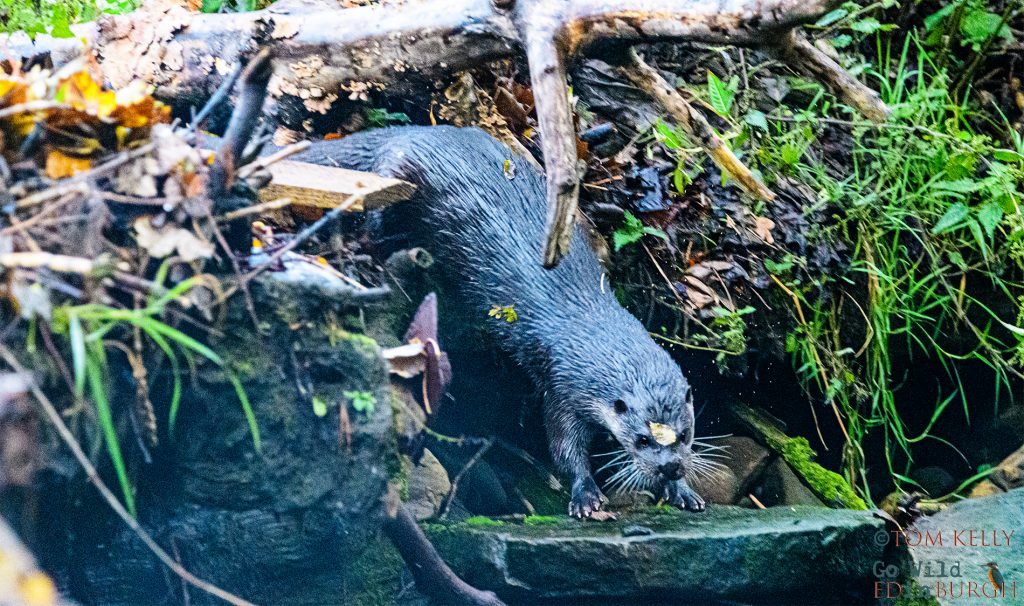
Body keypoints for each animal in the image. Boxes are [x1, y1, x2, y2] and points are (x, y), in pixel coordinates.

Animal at [295, 126, 705, 517]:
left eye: (684, 435)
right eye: (642, 439)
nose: (670, 467)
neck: (590, 324)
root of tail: (411, 131)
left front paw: (683, 491)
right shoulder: (561, 386)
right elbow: (563, 446)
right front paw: (586, 495)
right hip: (397, 176)